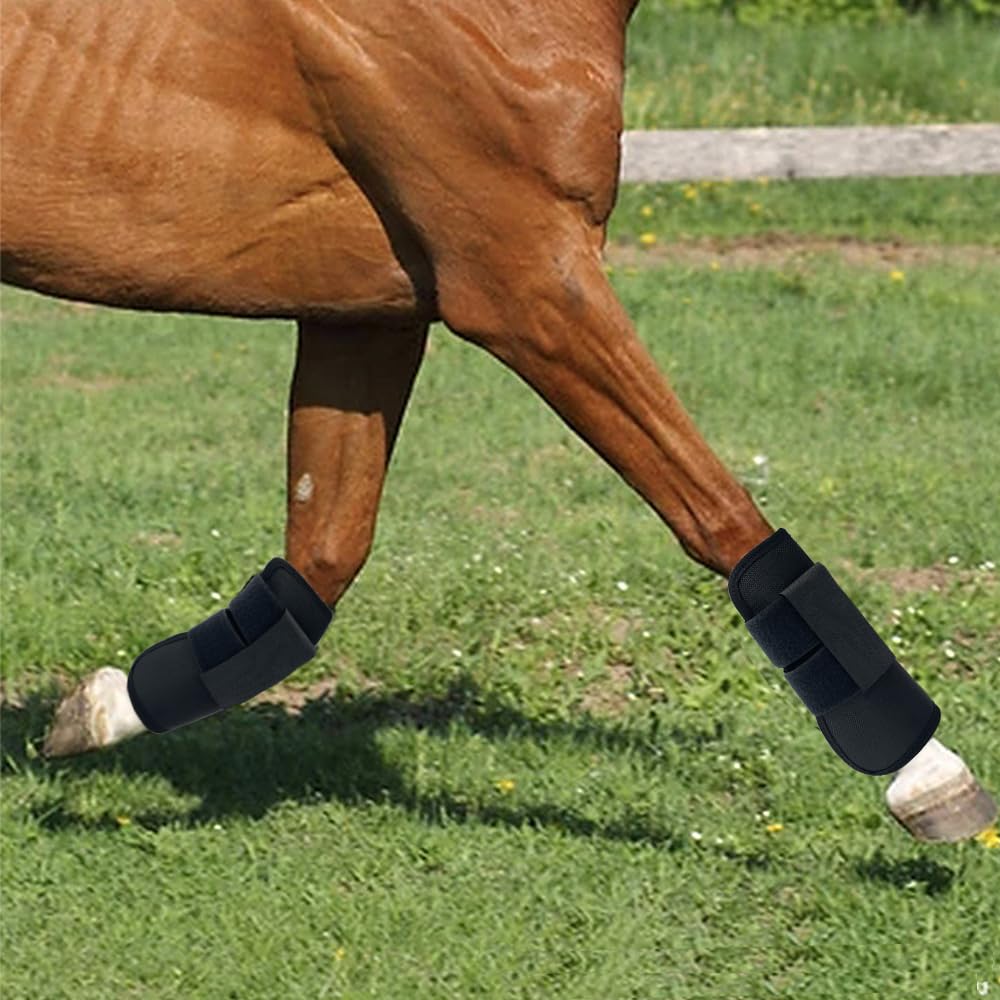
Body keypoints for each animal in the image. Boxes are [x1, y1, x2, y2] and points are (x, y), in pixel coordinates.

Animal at [1, 0, 992, 841]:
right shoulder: (526, 283)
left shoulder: (367, 312)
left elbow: (320, 559)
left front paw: (97, 711)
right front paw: (928, 775)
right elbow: (717, 515)